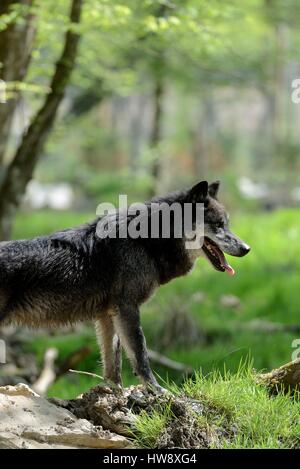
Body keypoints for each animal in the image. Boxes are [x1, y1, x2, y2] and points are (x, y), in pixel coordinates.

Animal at [0, 180, 250, 392]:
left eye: (227, 224)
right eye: (219, 225)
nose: (247, 248)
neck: (146, 241)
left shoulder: (106, 315)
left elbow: (113, 362)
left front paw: (114, 392)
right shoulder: (127, 308)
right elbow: (140, 354)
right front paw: (156, 391)